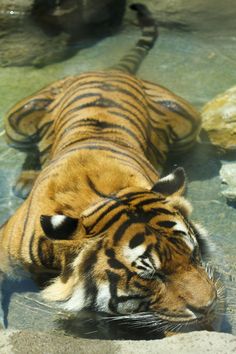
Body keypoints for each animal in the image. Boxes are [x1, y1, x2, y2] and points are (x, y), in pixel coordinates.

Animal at [0, 3, 223, 334]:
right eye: (150, 274)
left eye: (193, 254)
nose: (208, 307)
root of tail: (112, 71)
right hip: (17, 121)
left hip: (188, 124)